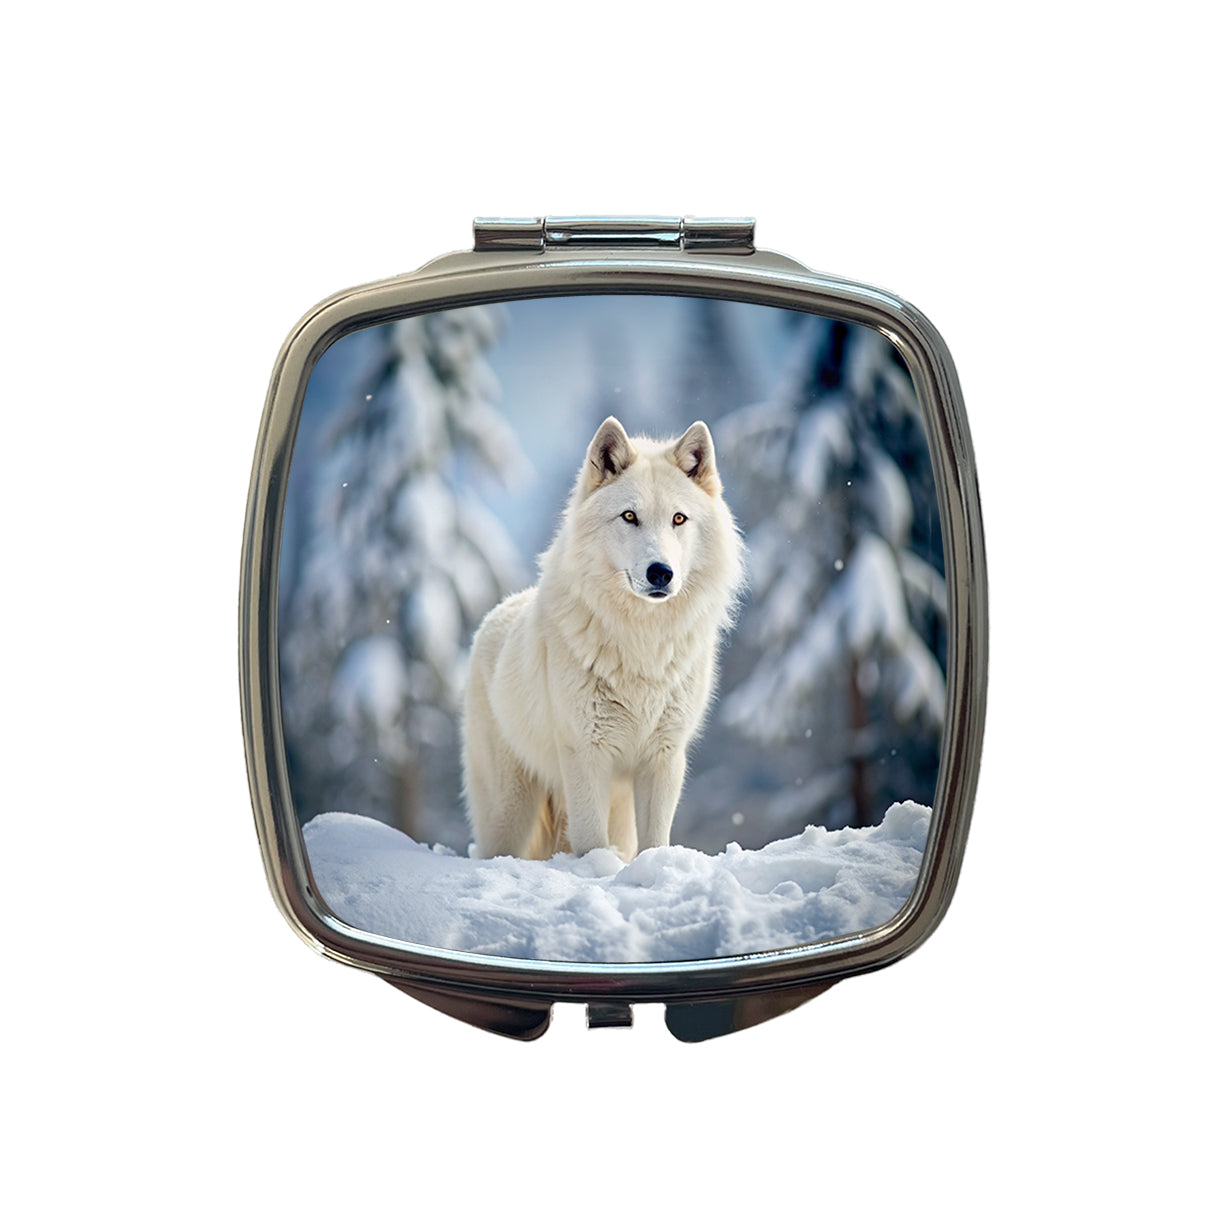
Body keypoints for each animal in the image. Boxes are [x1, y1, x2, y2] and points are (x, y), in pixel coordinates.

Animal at [463, 416, 745, 860]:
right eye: (629, 516)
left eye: (678, 519)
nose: (660, 572)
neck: (642, 643)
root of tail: (495, 615)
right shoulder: (585, 753)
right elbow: (592, 842)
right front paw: (597, 869)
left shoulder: (663, 757)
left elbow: (655, 842)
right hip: (510, 811)